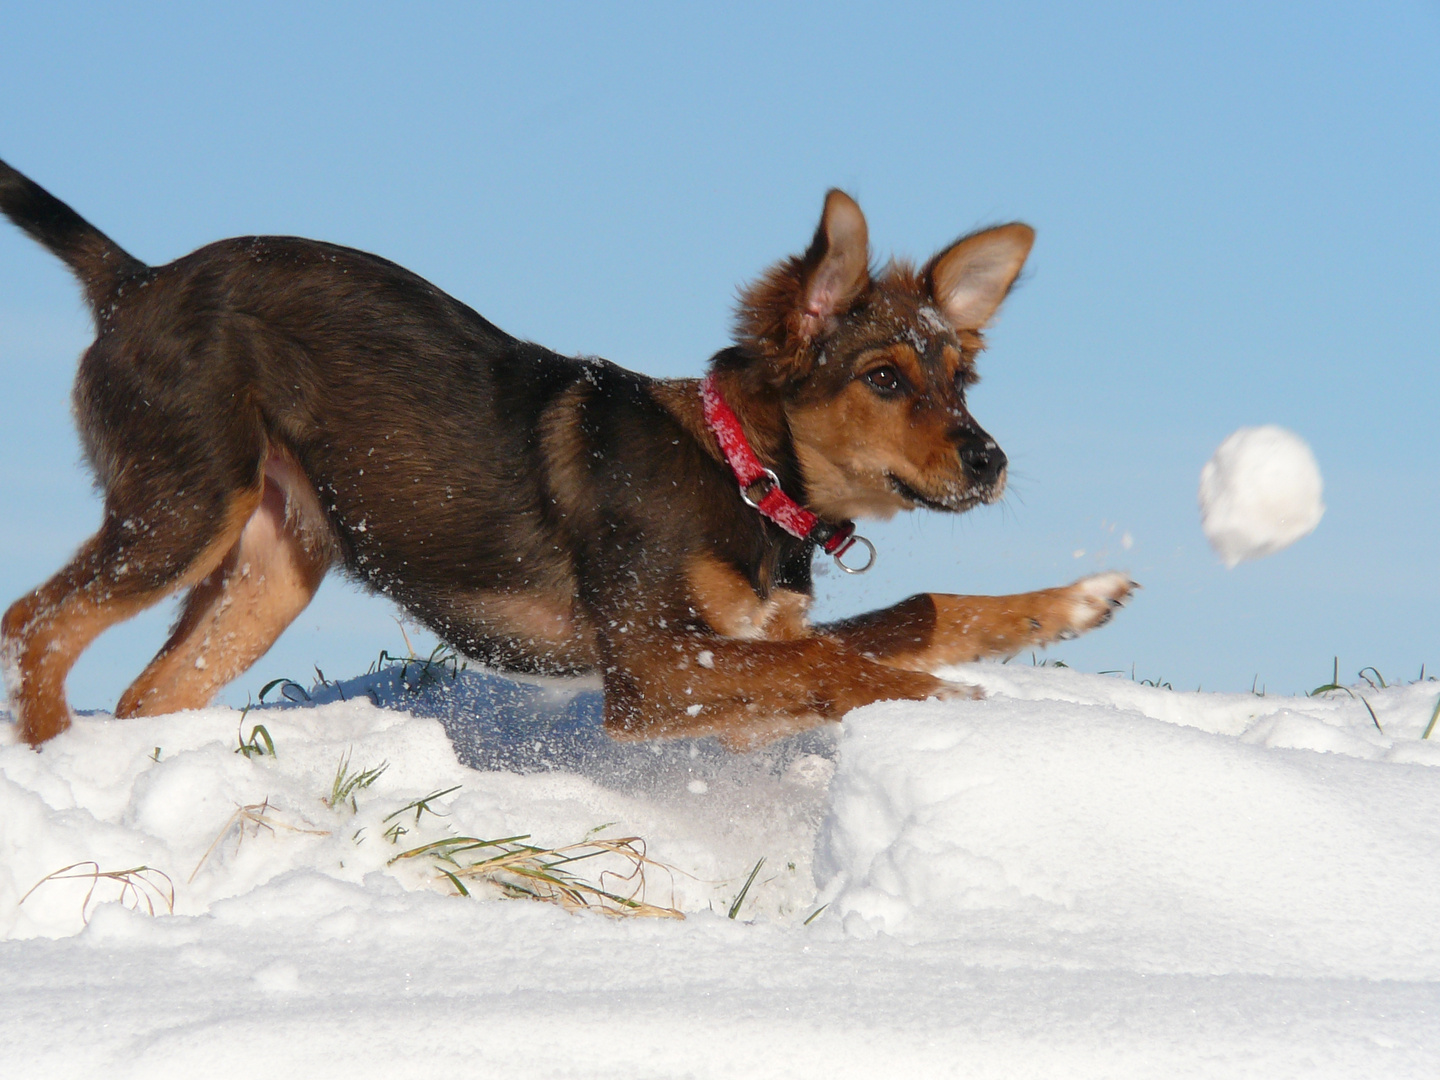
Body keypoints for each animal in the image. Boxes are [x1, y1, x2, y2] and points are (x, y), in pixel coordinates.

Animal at [0, 162, 1134, 754]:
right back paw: (53, 757)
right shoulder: (647, 669)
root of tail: (135, 280)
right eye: (887, 379)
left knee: (143, 690)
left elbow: (911, 616)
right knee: (37, 627)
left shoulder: (721, 666)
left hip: (273, 563)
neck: (744, 477)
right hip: (188, 502)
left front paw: (1074, 601)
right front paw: (954, 707)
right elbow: (835, 660)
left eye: (963, 378)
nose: (990, 462)